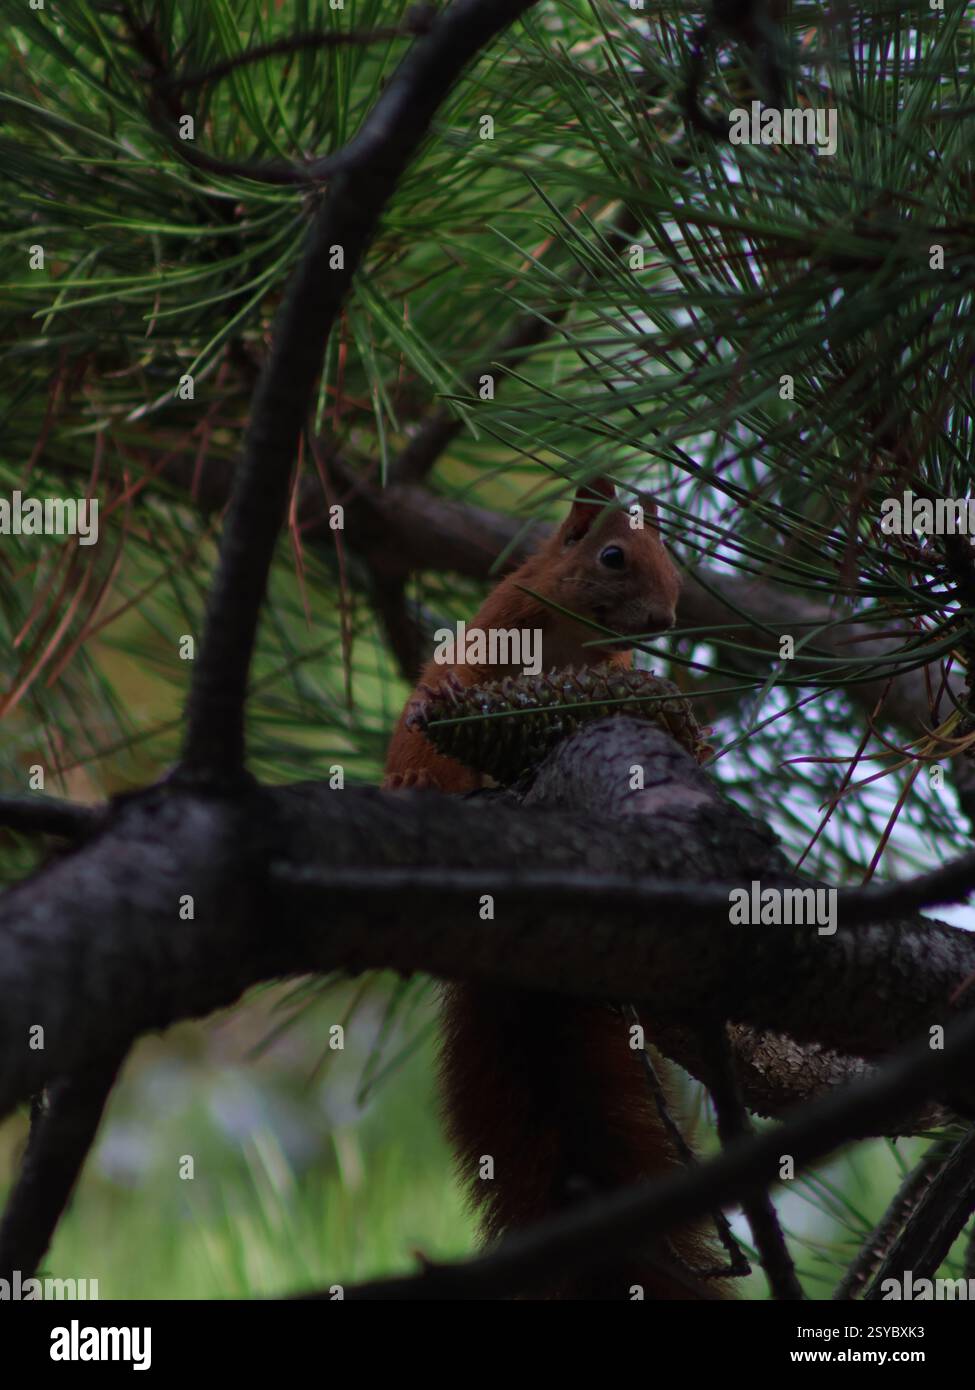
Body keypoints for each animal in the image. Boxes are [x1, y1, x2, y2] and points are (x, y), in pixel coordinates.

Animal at [384, 476, 724, 1299]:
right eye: (613, 556)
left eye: (672, 562)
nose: (666, 618)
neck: (573, 636)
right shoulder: (495, 635)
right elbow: (454, 694)